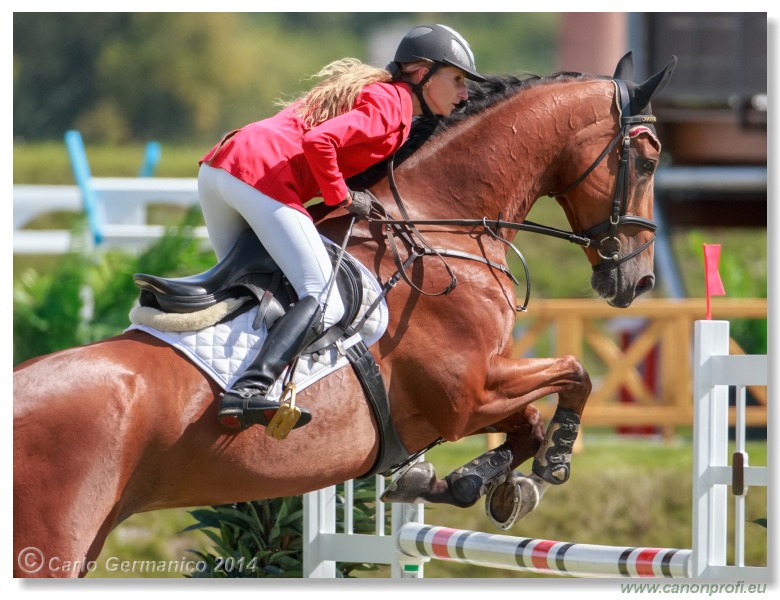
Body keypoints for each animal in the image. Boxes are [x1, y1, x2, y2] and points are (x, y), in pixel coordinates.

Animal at [16, 52, 676, 576]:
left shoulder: (474, 393)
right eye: (646, 161)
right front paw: (552, 460)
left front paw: (469, 481)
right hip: (54, 546)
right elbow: (572, 375)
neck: (443, 228)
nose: (637, 279)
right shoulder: (467, 394)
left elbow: (529, 419)